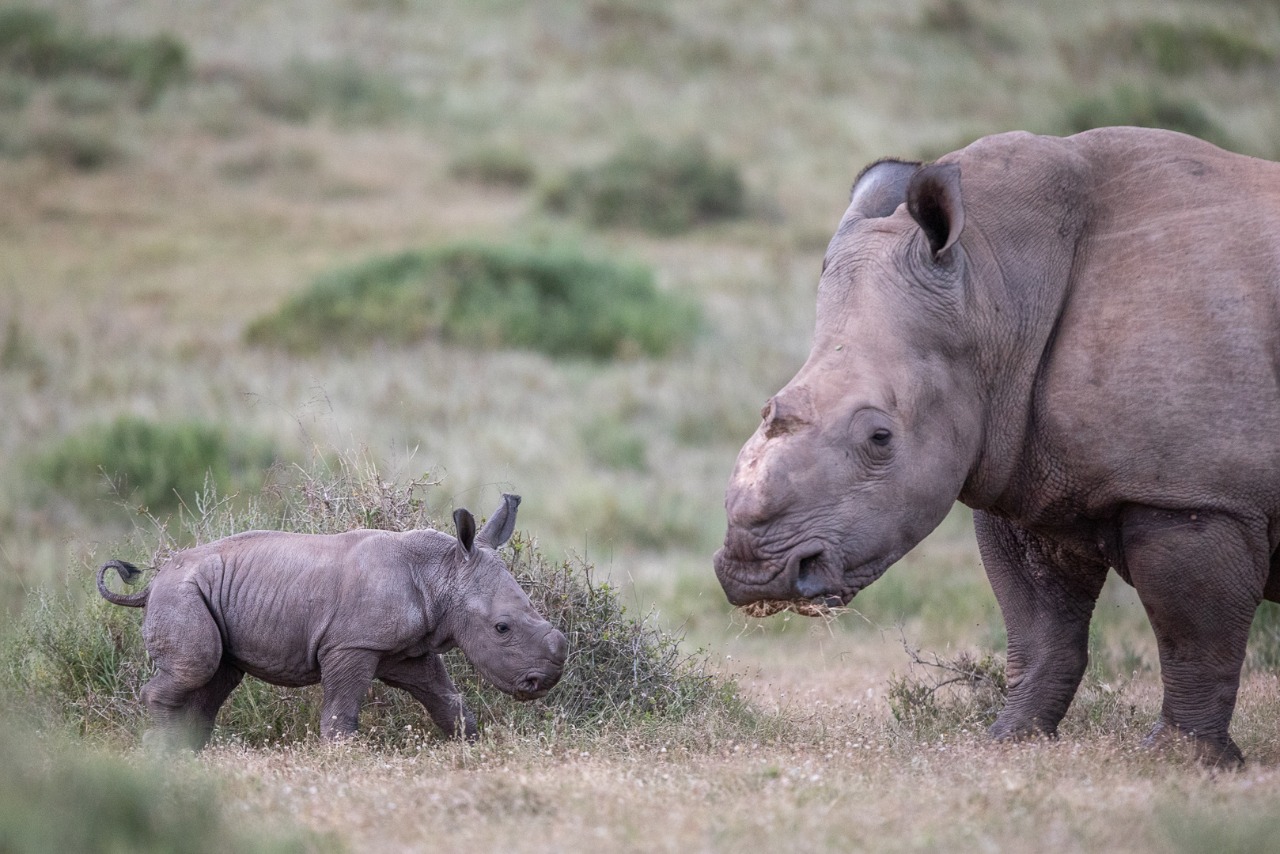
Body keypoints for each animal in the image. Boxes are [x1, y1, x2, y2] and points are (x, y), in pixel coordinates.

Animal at [94, 494, 565, 747]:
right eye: (502, 628)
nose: (542, 682)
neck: (442, 571)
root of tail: (152, 582)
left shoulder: (406, 648)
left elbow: (445, 699)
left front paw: (468, 744)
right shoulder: (351, 644)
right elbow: (341, 712)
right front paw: (342, 755)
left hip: (201, 595)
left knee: (217, 676)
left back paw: (186, 750)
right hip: (180, 593)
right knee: (196, 667)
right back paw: (161, 749)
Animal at [716, 128, 1280, 768]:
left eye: (879, 438)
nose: (754, 574)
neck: (997, 290)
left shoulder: (1196, 494)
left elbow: (1193, 638)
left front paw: (1180, 761)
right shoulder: (1030, 473)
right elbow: (1039, 630)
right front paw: (1012, 741)